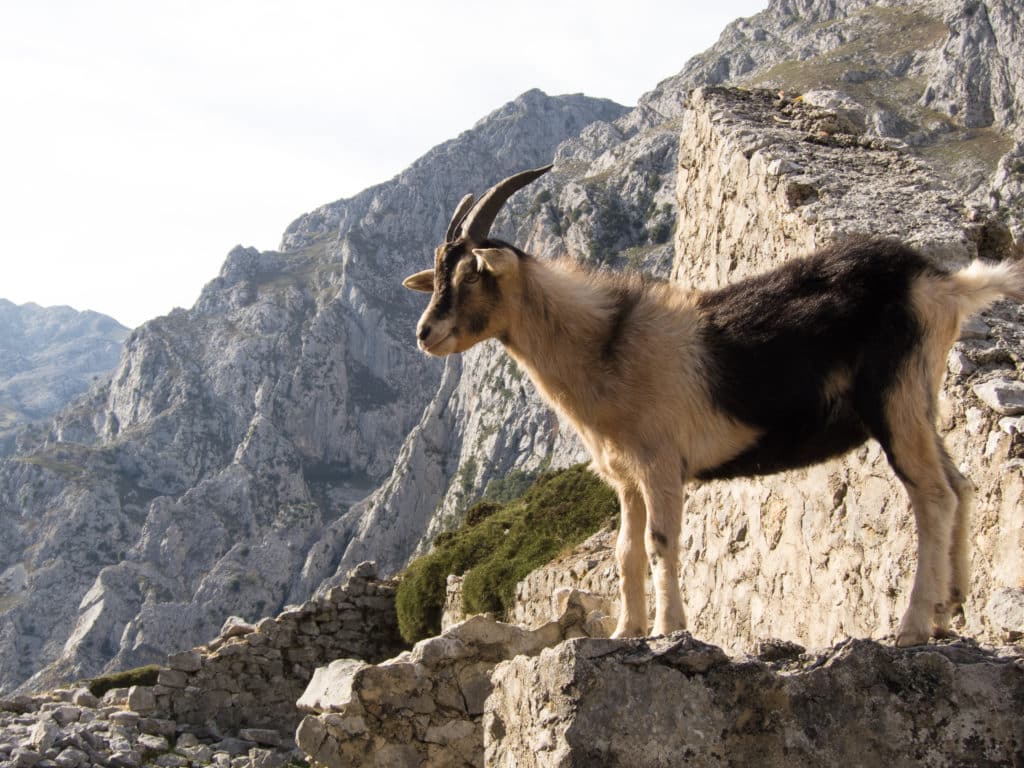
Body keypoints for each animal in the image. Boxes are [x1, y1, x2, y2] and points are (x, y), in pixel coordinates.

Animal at [403, 163, 1019, 651]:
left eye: (472, 273)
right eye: (437, 274)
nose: (425, 334)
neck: (607, 345)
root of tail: (941, 284)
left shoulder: (660, 464)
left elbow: (660, 544)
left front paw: (668, 629)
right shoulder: (626, 479)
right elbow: (625, 552)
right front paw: (626, 631)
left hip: (894, 399)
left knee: (933, 495)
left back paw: (913, 625)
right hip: (920, 402)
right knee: (960, 483)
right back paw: (949, 611)